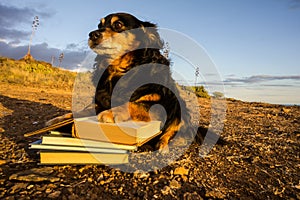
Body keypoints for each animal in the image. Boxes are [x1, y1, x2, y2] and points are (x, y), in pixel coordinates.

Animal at [47, 12, 198, 152]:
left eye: (118, 25)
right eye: (99, 25)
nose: (92, 34)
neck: (119, 71)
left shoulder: (158, 108)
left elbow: (134, 104)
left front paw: (111, 113)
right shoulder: (99, 102)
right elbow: (80, 110)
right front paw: (60, 119)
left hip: (179, 107)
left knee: (173, 132)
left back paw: (163, 145)